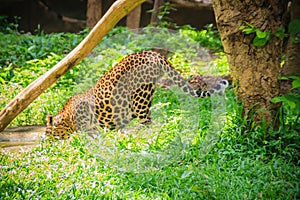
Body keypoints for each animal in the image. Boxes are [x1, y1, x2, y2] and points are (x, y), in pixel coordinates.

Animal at [45, 50, 227, 139]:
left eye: (48, 132)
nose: (46, 142)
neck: (68, 116)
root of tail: (154, 54)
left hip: (140, 96)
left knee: (147, 122)